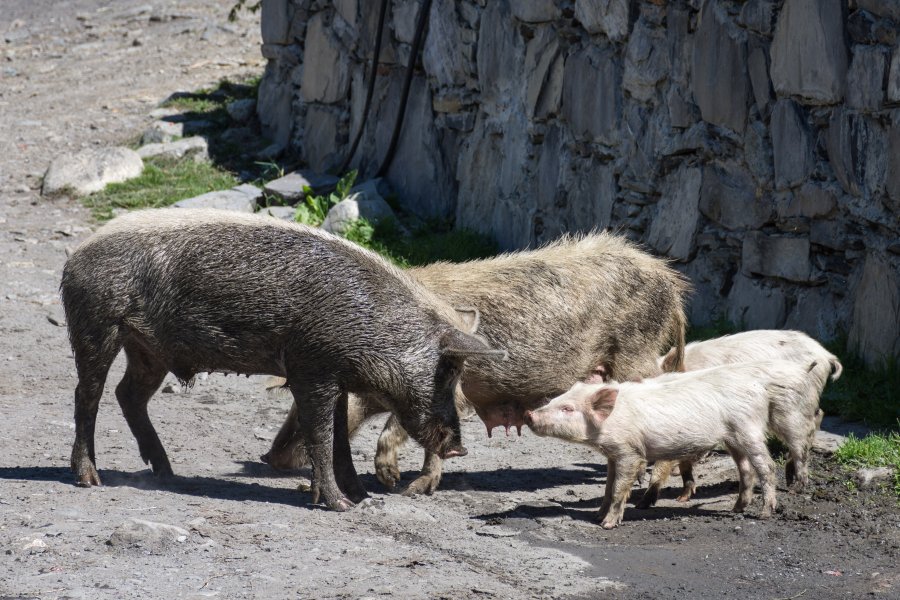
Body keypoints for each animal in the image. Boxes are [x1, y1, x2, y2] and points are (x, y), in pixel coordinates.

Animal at [60, 207, 502, 510]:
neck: (375, 323)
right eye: (447, 371)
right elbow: (321, 436)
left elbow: (340, 440)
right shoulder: (311, 367)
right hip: (97, 324)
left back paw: (166, 473)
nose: (459, 448)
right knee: (87, 394)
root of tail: (74, 254)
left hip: (148, 349)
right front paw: (340, 506)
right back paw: (90, 479)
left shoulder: (334, 377)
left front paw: (363, 499)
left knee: (128, 394)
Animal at [260, 232, 688, 494]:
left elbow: (403, 428)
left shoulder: (453, 390)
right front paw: (402, 483)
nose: (269, 457)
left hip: (636, 352)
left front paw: (401, 484)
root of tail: (669, 280)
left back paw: (652, 487)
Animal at [524, 358, 828, 528]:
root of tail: (759, 386)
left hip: (749, 428)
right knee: (745, 469)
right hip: (732, 437)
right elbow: (609, 486)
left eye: (568, 409)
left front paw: (607, 525)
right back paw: (736, 509)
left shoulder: (629, 451)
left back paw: (765, 513)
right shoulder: (612, 454)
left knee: (767, 466)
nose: (529, 414)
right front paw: (597, 516)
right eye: (556, 399)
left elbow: (621, 487)